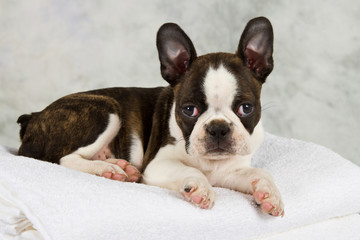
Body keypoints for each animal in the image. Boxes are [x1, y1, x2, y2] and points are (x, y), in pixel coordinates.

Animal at [18, 16, 284, 216]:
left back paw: (118, 166)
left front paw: (270, 194)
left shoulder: (231, 171)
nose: (218, 128)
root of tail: (34, 117)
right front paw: (200, 187)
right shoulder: (157, 165)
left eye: (246, 108)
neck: (210, 164)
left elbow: (260, 173)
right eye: (189, 110)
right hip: (107, 110)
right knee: (65, 159)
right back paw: (107, 170)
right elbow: (190, 171)